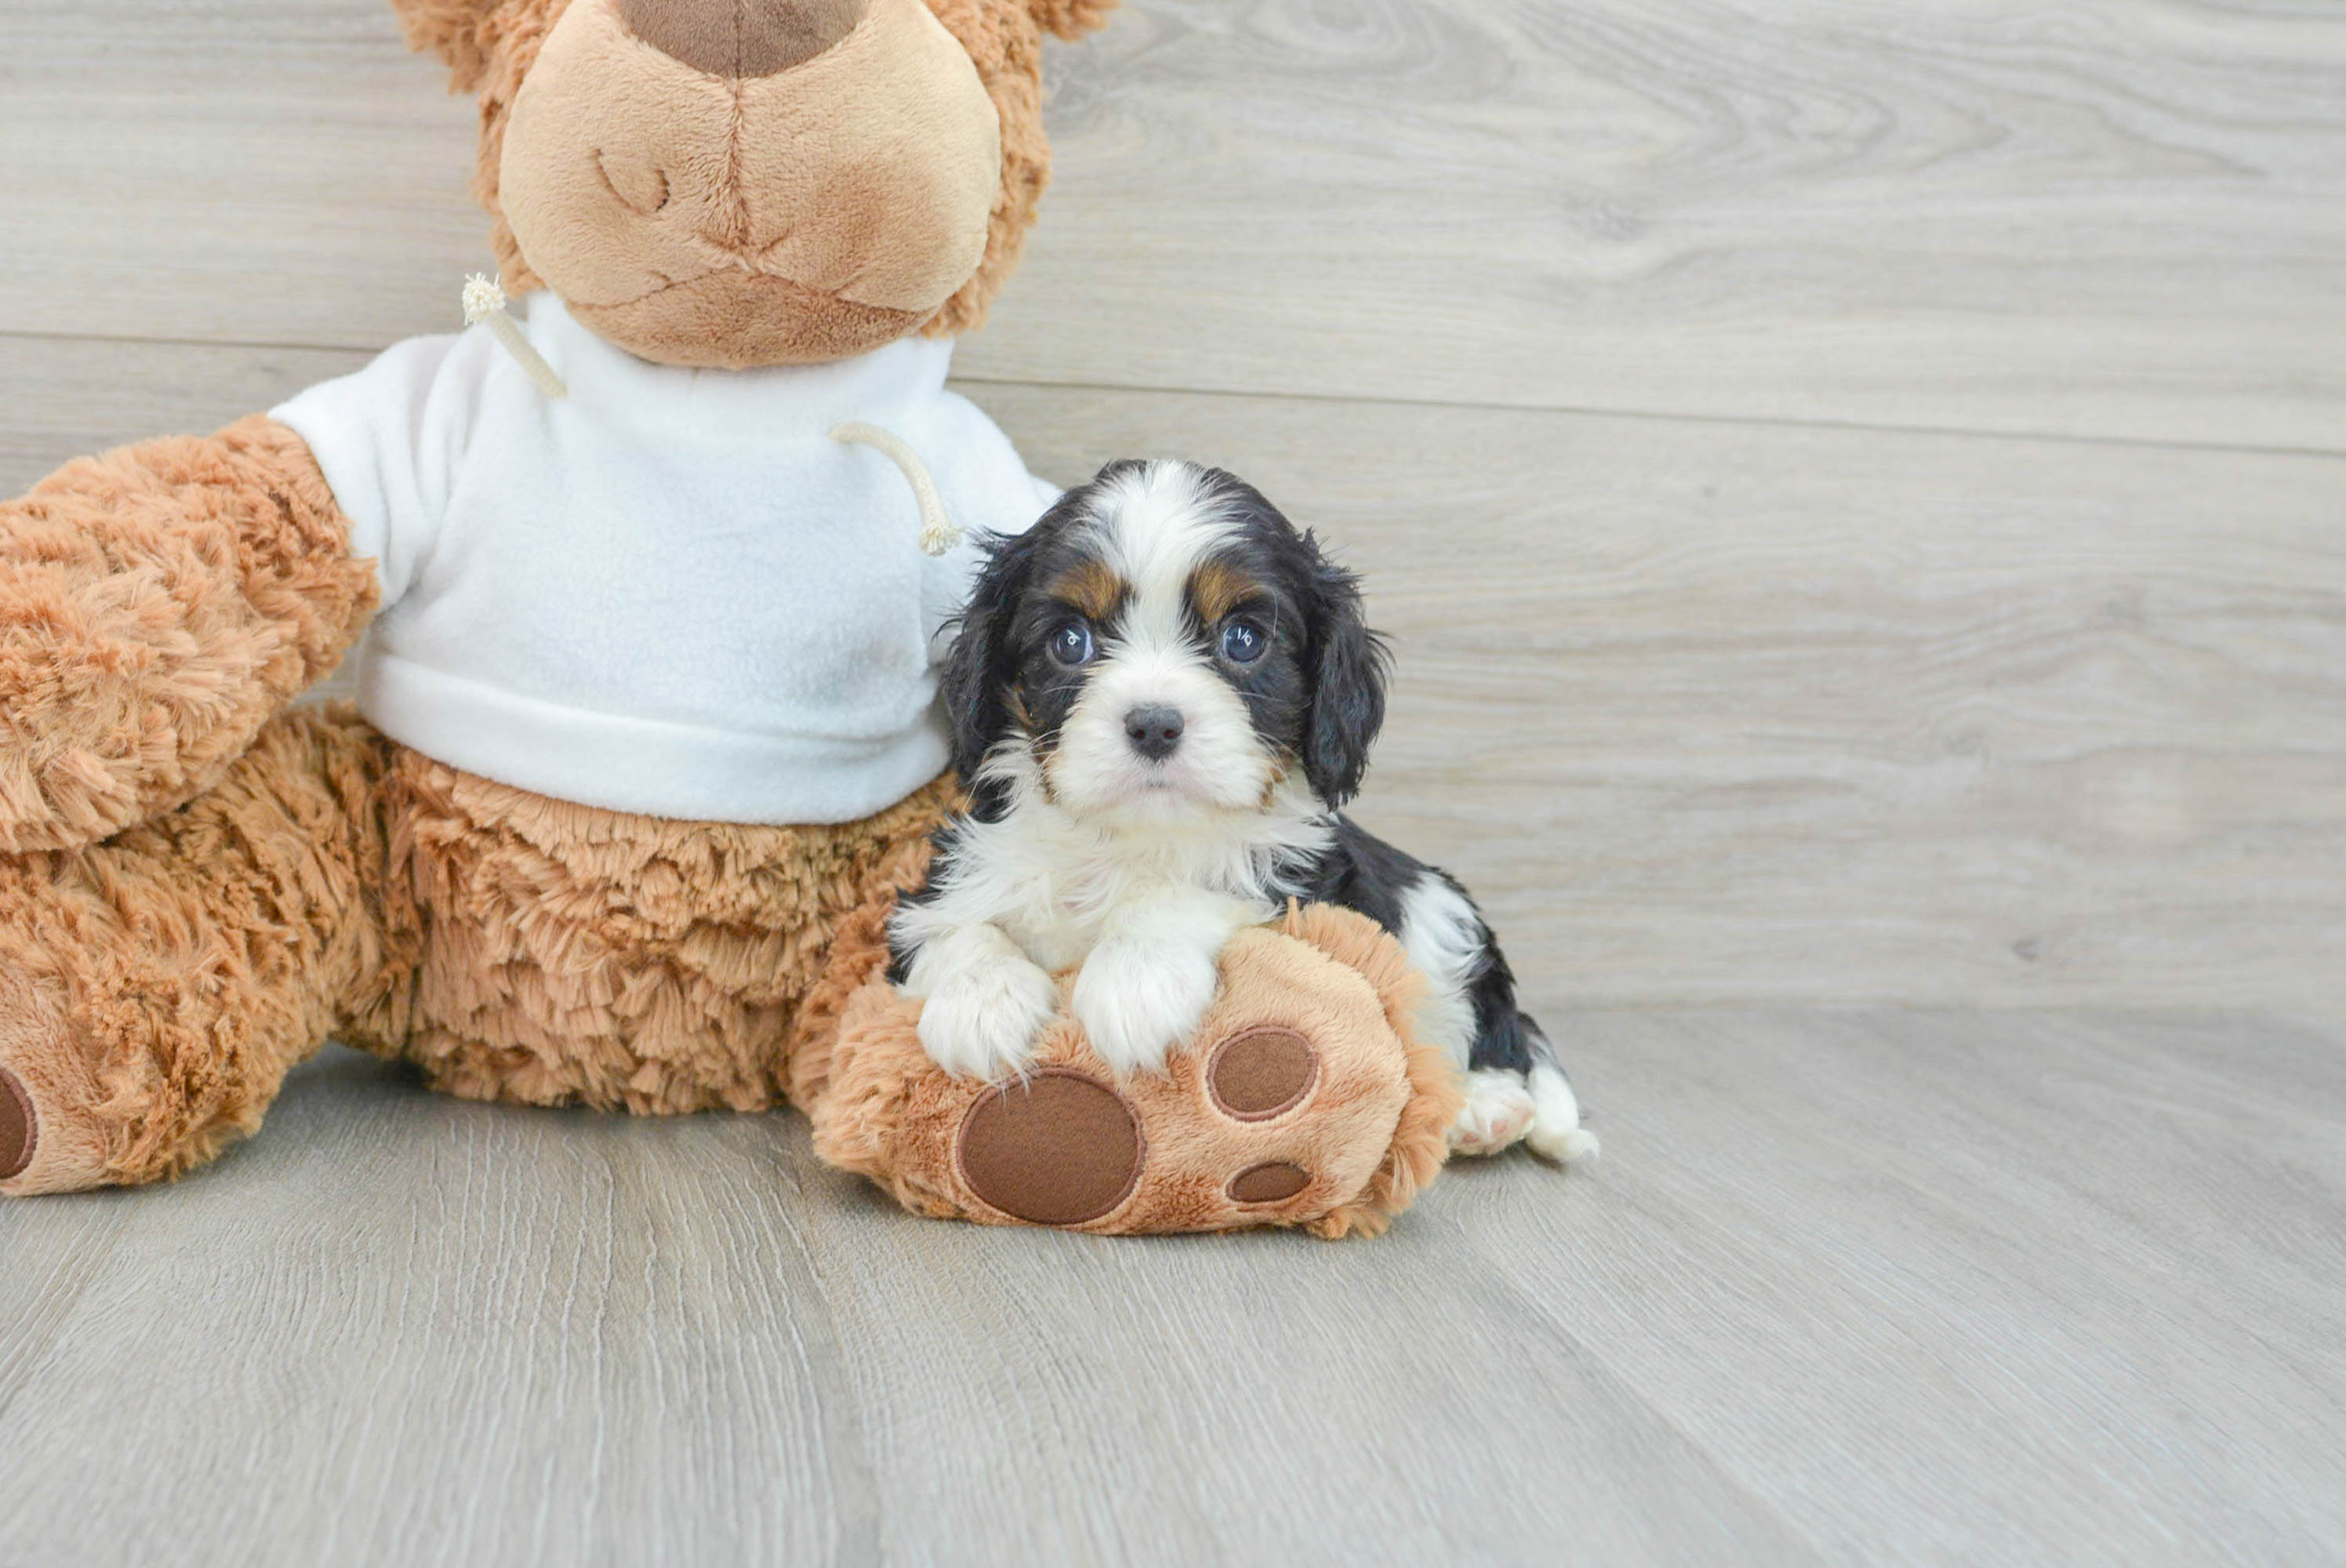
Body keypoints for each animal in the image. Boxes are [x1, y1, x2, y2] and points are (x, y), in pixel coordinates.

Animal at [891, 459, 1595, 1160]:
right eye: (1070, 641)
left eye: (1243, 639)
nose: (1154, 724)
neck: (1135, 839)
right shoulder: (949, 878)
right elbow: (951, 926)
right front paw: (980, 1002)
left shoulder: (1306, 890)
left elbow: (1198, 894)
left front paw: (1134, 981)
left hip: (1443, 917)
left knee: (1495, 1025)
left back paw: (1483, 1105)